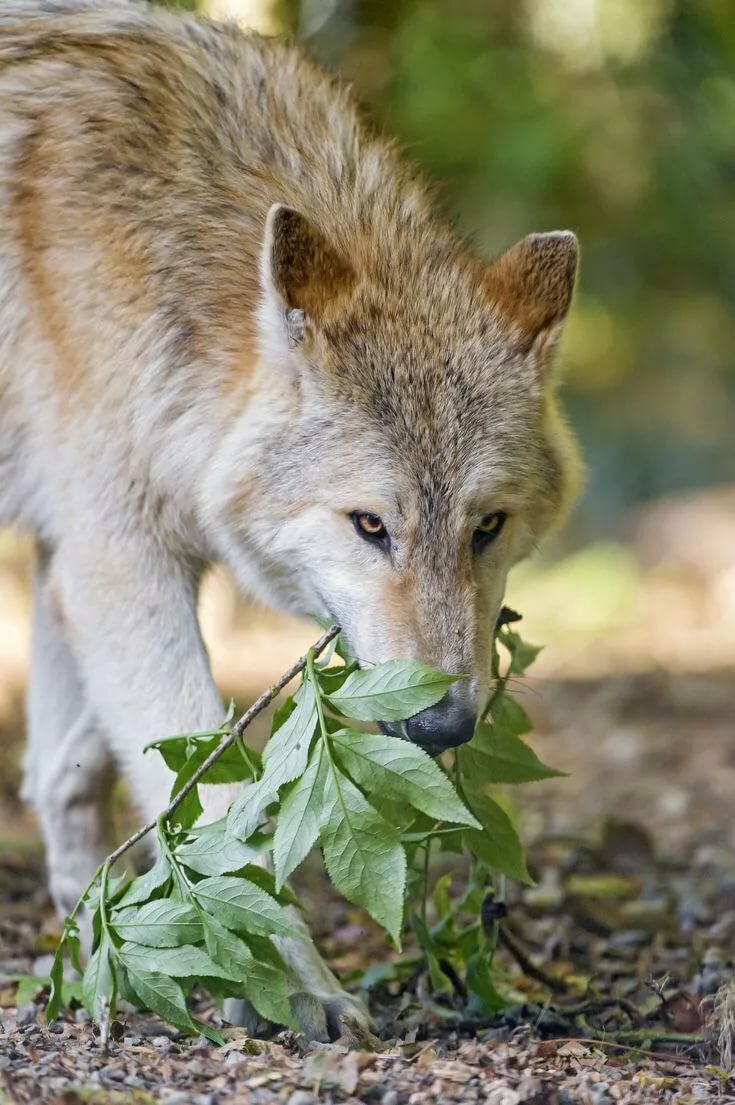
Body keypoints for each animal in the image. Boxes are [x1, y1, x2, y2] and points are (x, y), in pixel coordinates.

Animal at [0, 0, 581, 1034]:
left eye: (487, 527)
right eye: (369, 525)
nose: (442, 725)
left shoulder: (77, 554)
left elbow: (69, 772)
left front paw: (85, 945)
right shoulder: (118, 561)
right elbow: (216, 812)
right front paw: (289, 979)